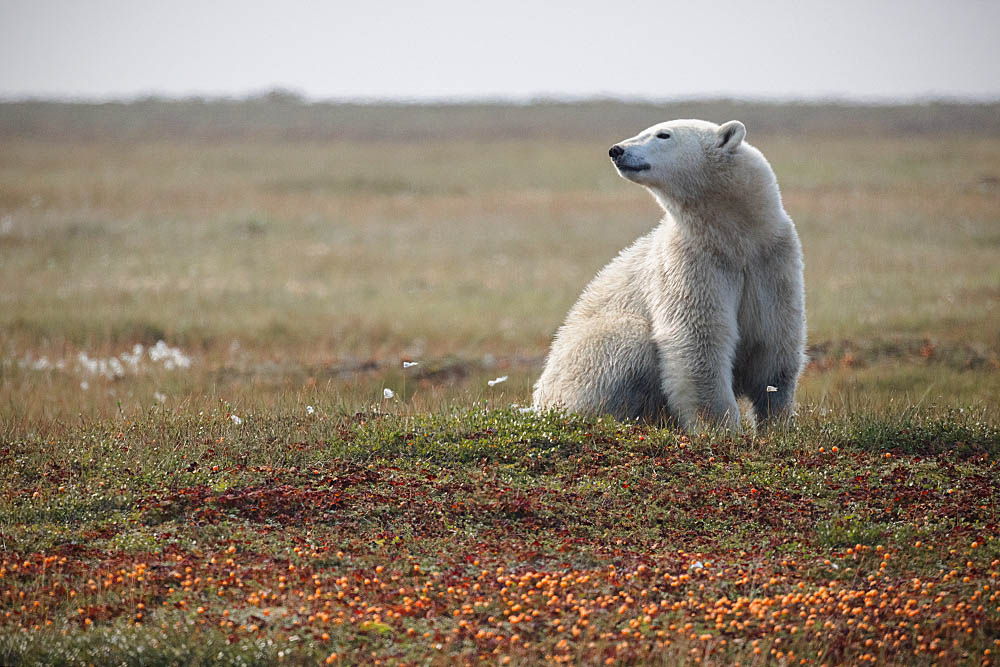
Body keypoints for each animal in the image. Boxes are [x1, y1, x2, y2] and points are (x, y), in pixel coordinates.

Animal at [532, 118, 804, 434]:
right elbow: (698, 339)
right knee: (628, 340)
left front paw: (777, 424)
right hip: (575, 367)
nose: (617, 150)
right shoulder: (689, 262)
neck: (733, 238)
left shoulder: (772, 260)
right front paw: (721, 428)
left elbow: (775, 343)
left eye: (663, 134)